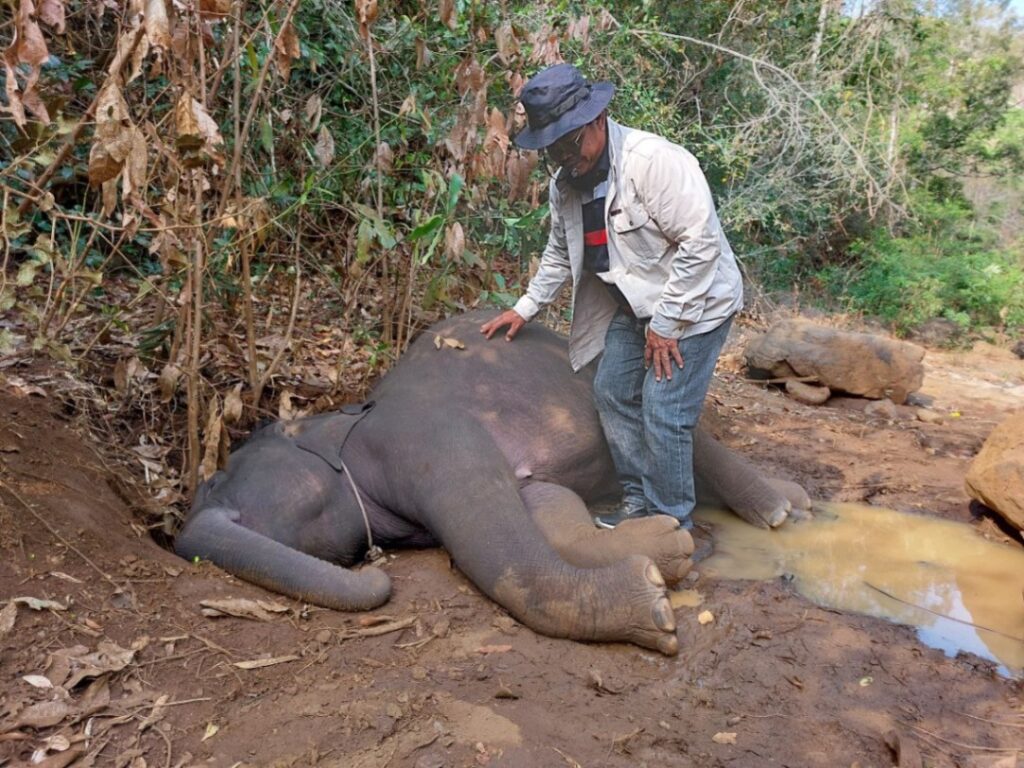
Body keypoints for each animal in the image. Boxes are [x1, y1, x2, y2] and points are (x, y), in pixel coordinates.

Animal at [175, 311, 808, 655]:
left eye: (219, 477)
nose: (177, 531)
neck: (341, 421)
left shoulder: (429, 437)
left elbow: (501, 547)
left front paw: (655, 604)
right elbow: (547, 506)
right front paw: (664, 559)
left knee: (678, 426)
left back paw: (782, 510)